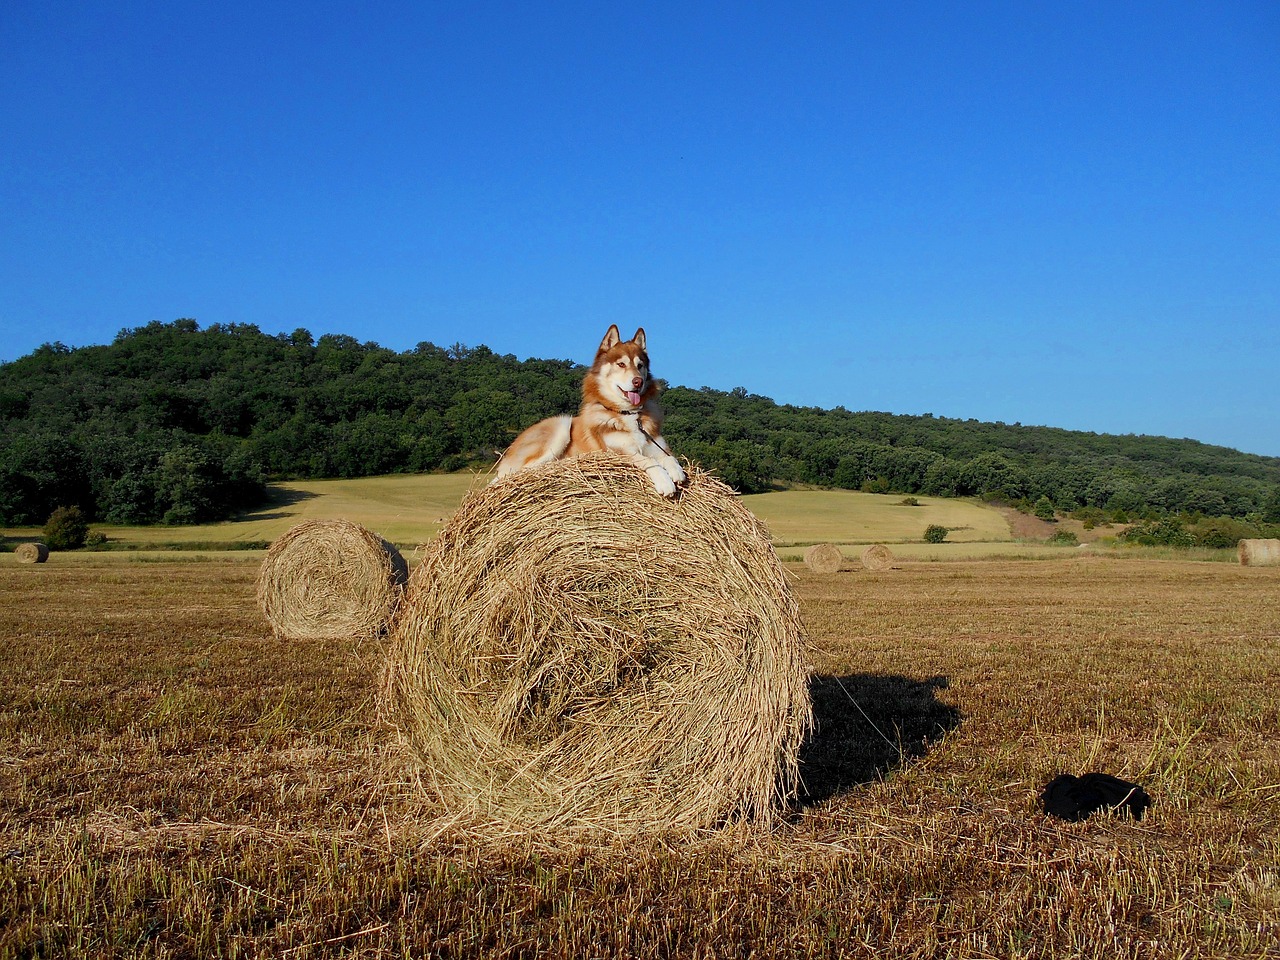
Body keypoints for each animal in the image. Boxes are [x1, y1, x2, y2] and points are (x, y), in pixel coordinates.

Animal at [491, 327, 691, 499]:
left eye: (640, 365)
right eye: (621, 364)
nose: (638, 382)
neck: (628, 414)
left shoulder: (657, 446)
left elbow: (670, 458)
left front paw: (676, 471)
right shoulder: (619, 453)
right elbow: (649, 461)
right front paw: (665, 481)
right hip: (561, 425)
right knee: (523, 470)